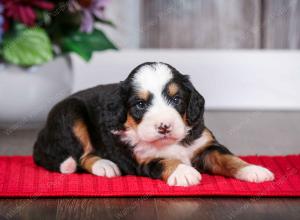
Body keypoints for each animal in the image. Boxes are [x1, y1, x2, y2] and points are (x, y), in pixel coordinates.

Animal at [33, 61, 274, 186]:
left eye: (176, 100)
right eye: (140, 105)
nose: (164, 126)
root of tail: (40, 136)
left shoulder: (206, 146)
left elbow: (228, 158)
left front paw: (252, 169)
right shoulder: (142, 158)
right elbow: (164, 161)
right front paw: (183, 172)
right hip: (71, 114)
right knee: (80, 156)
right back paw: (105, 165)